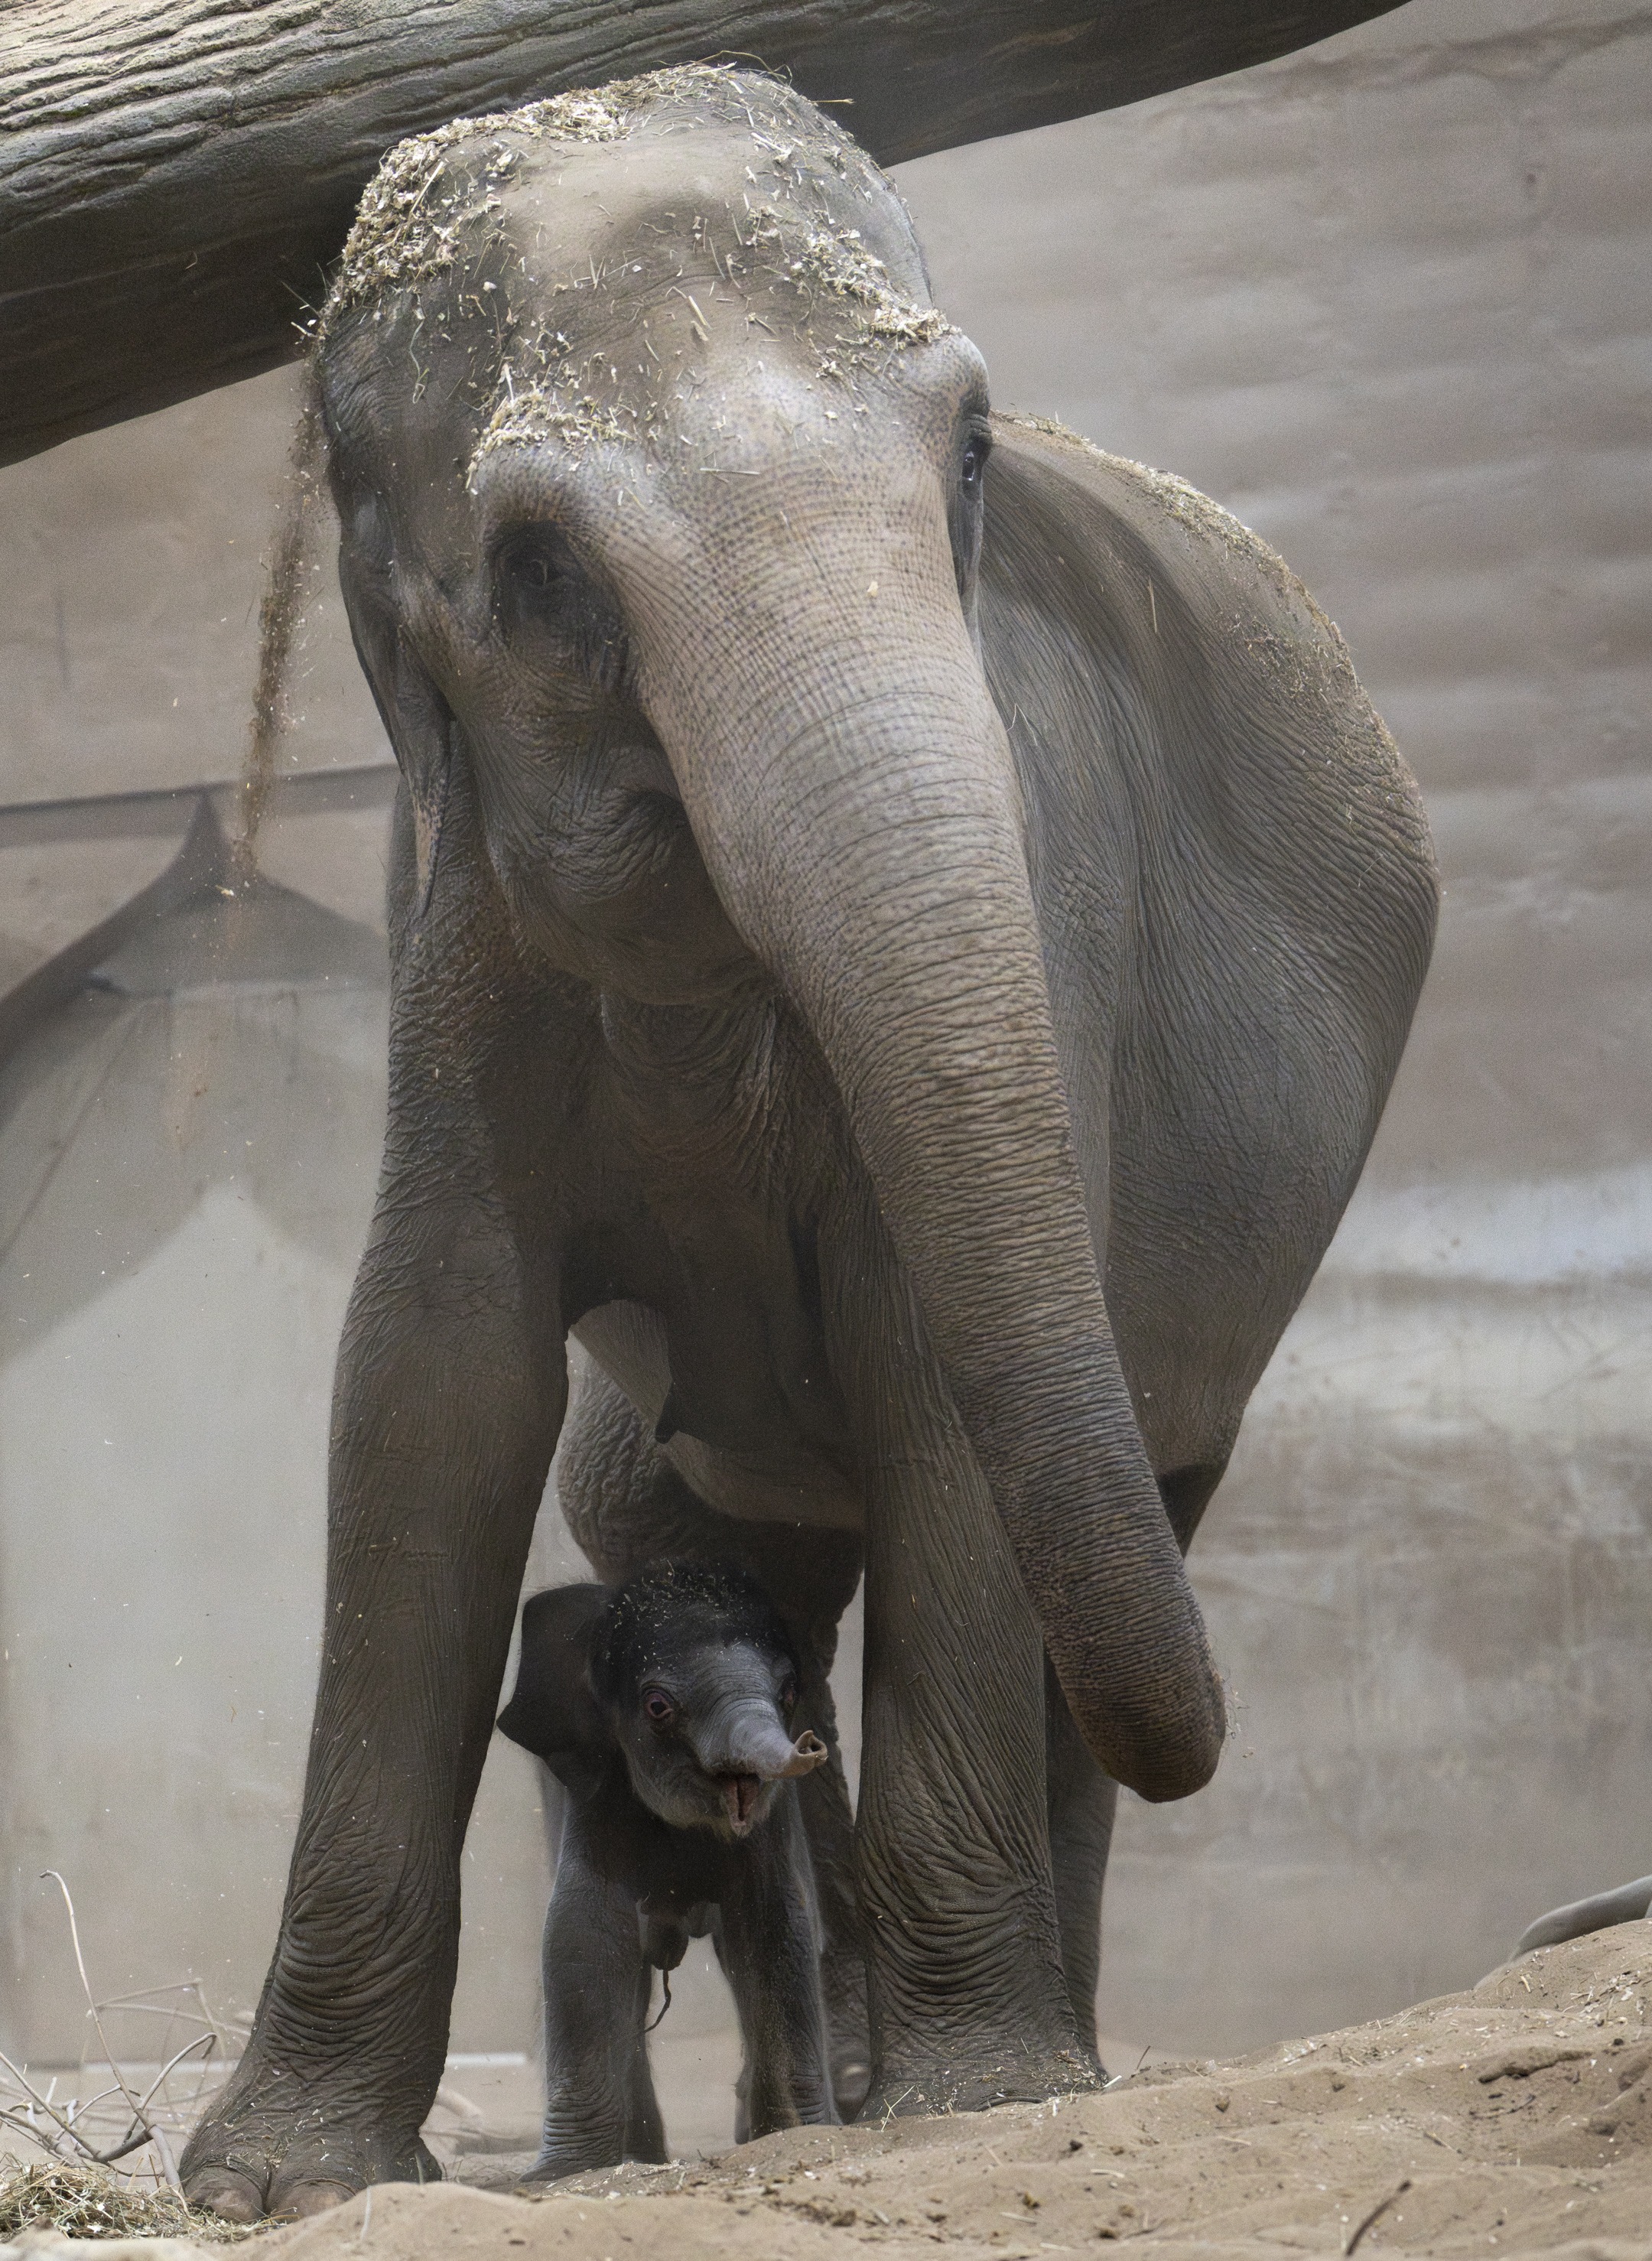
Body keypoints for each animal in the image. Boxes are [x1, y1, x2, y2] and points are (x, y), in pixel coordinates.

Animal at [498, 1562, 834, 2174]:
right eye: (658, 1707)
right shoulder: (599, 1787)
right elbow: (584, 1933)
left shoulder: (772, 1821)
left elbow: (778, 1927)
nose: (810, 1746)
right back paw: (640, 2157)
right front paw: (561, 2175)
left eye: (789, 1691)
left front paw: (805, 2137)